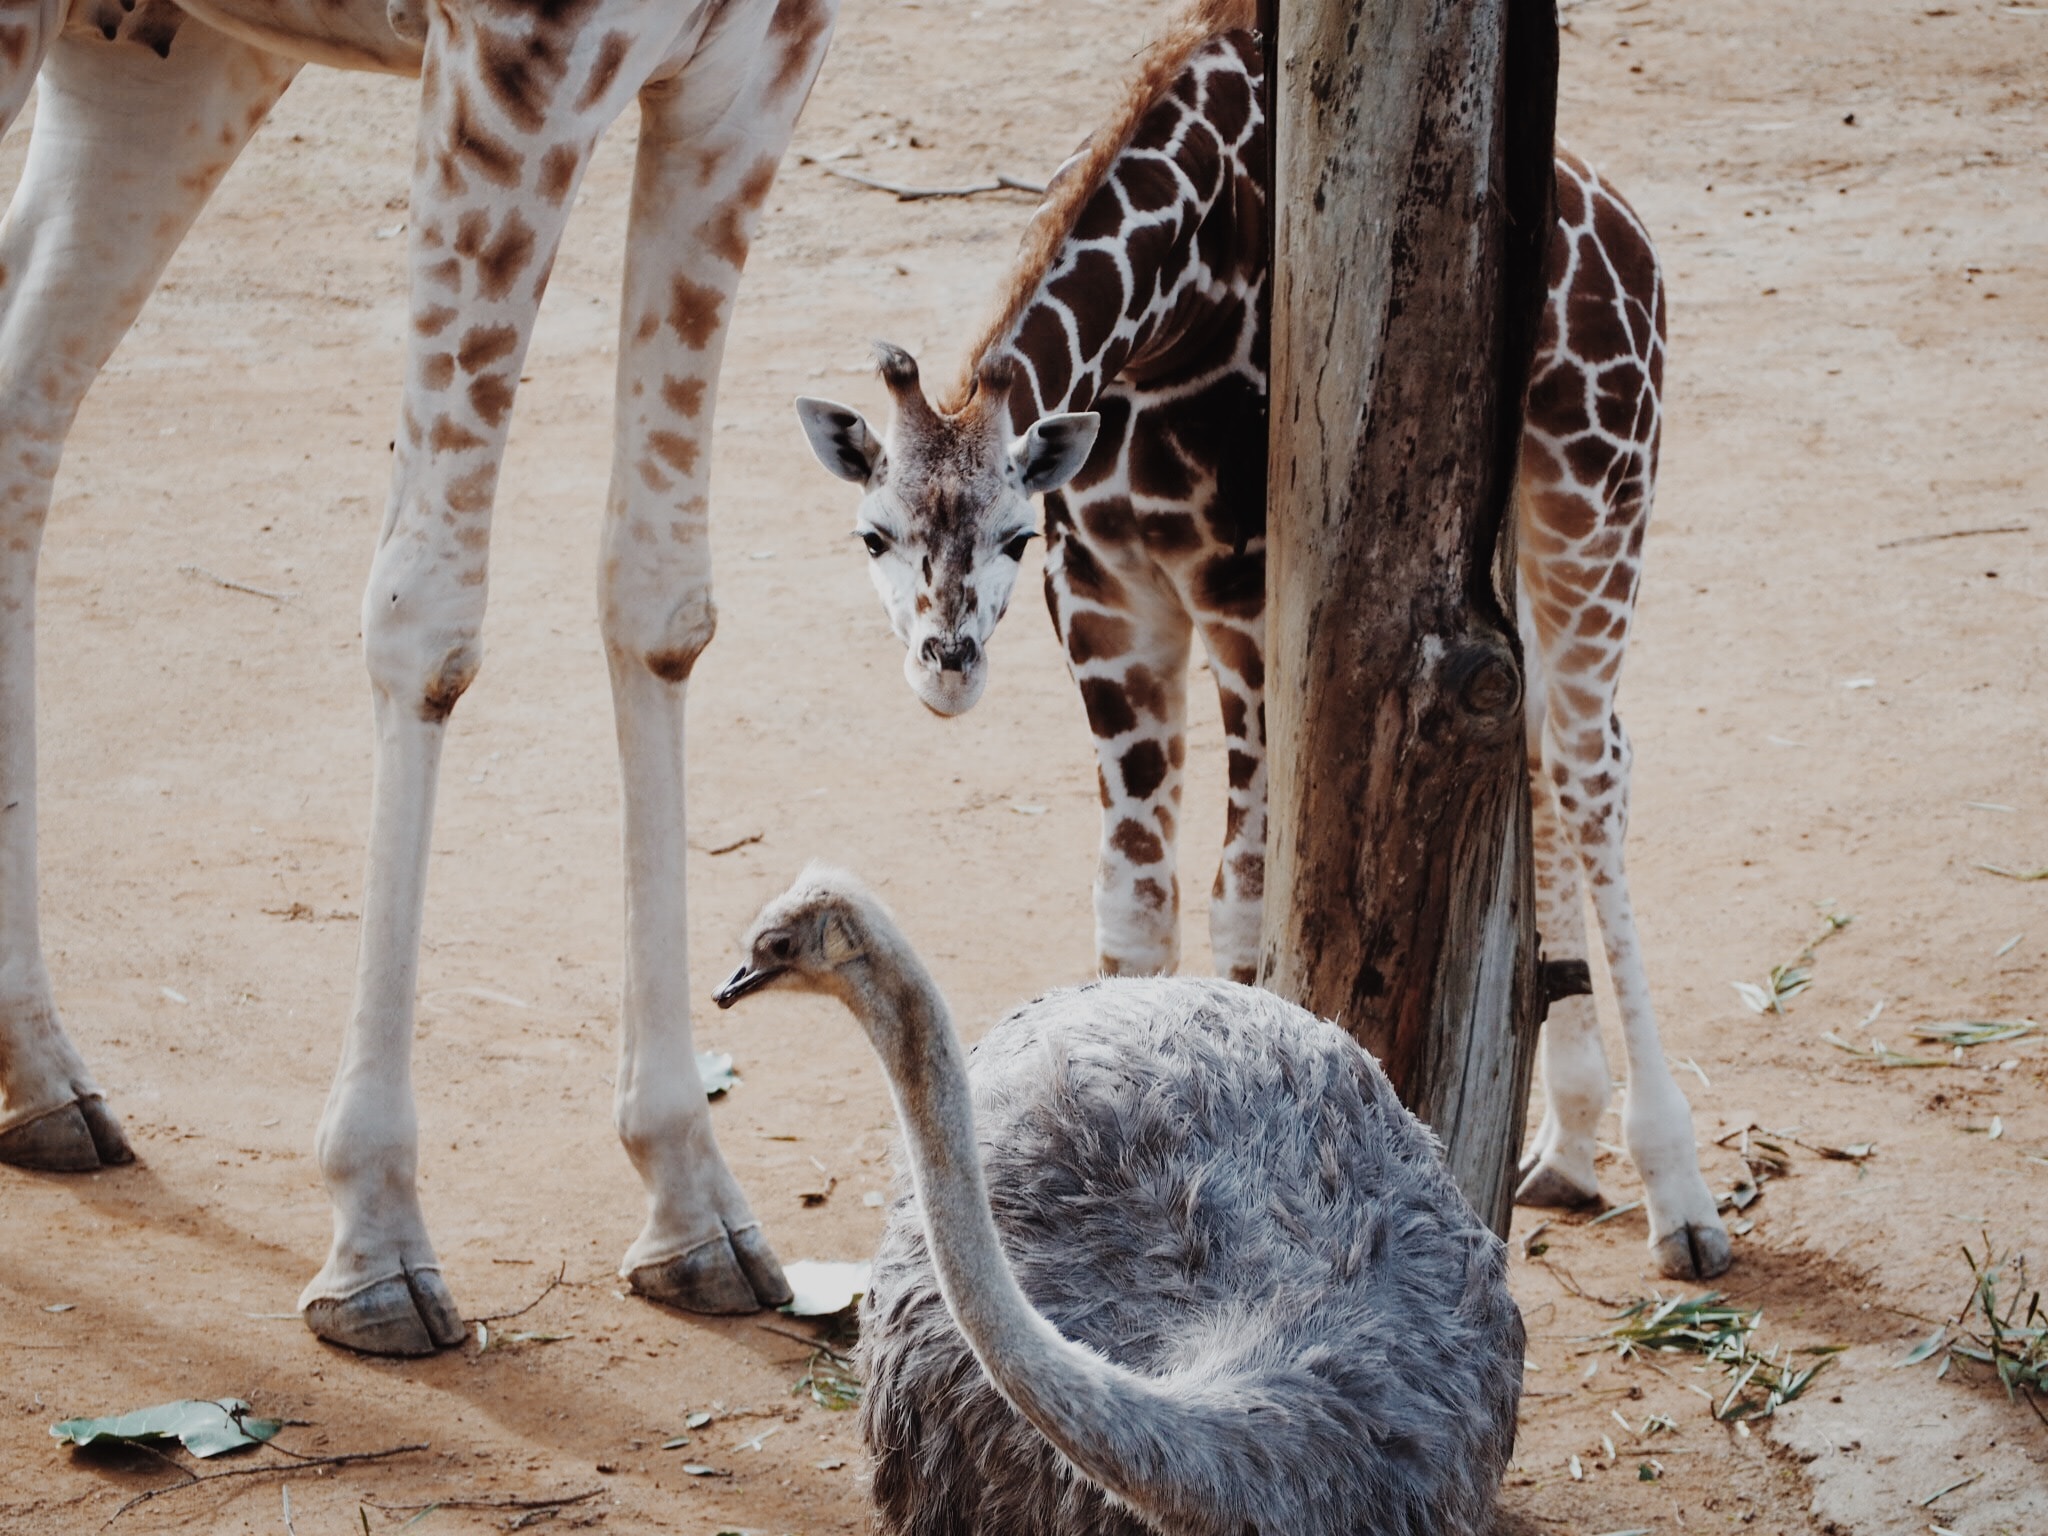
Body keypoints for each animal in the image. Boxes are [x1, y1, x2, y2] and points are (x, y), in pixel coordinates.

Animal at [0, 0, 839, 1351]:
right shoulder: (509, 65)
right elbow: (426, 619)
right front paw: (377, 1234)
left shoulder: (754, 77)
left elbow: (661, 599)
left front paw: (693, 1202)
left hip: (165, 58)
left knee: (25, 404)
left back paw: (39, 1076)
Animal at [794, 0, 1728, 1277]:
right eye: (872, 532)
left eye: (1010, 534)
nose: (947, 666)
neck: (1172, 314)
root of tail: (1628, 236)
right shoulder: (1109, 604)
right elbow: (1132, 903)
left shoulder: (1243, 600)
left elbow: (1238, 906)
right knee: (1537, 746)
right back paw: (1568, 1149)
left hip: (1597, 486)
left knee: (1593, 772)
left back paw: (1678, 1195)